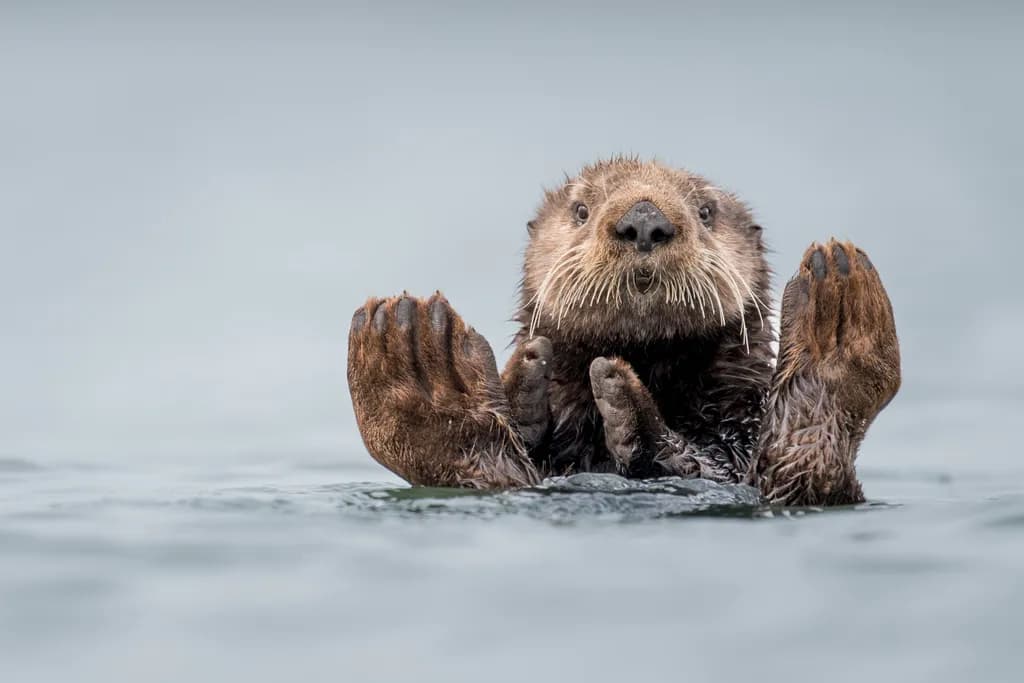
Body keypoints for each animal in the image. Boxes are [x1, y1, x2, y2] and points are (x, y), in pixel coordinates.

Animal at [347, 158, 900, 506]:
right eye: (581, 210)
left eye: (706, 211)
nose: (644, 219)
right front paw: (527, 384)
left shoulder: (737, 430)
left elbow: (719, 461)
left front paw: (617, 400)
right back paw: (419, 360)